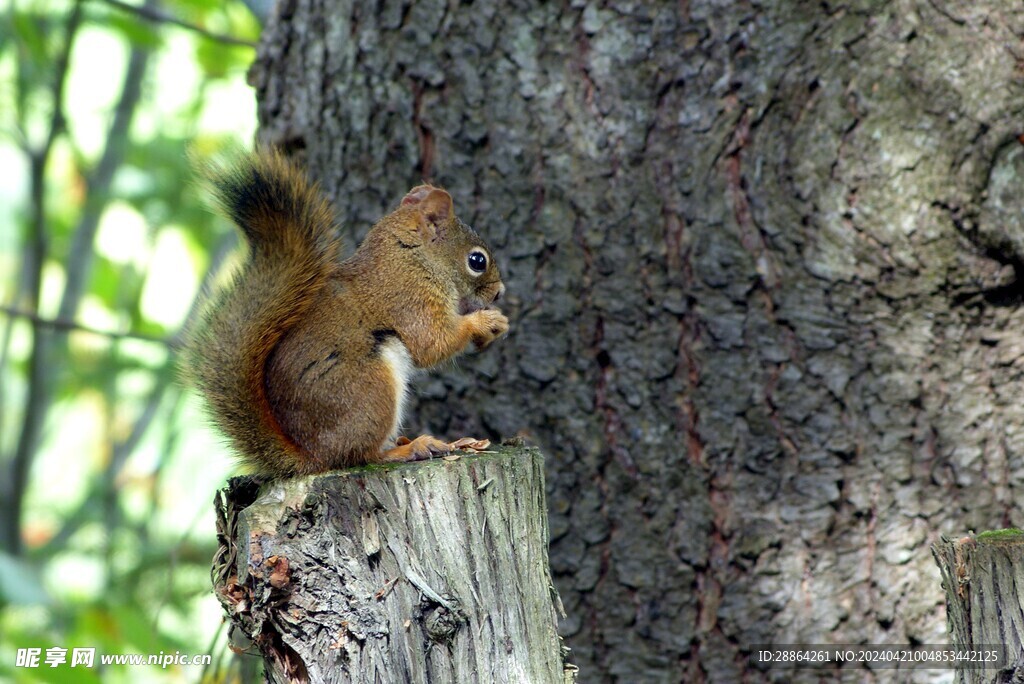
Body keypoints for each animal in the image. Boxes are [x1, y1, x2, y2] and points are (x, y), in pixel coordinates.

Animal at [182, 148, 509, 475]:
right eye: (477, 261)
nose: (499, 292)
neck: (412, 257)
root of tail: (312, 456)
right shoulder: (411, 299)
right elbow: (431, 344)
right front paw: (487, 322)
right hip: (370, 390)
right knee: (360, 455)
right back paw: (411, 448)